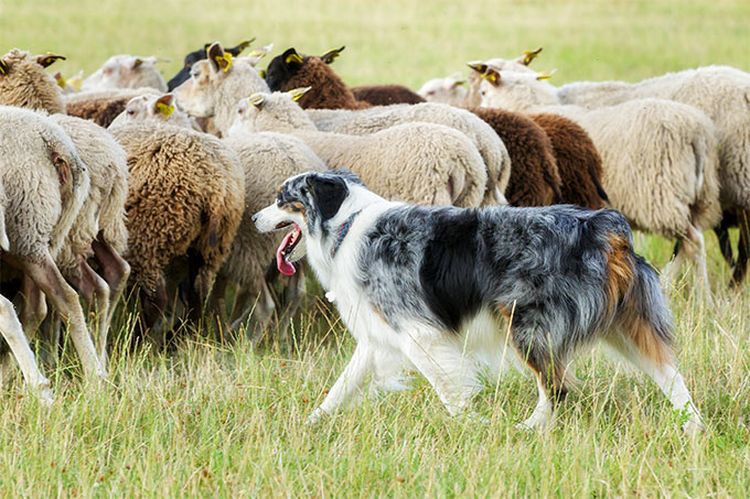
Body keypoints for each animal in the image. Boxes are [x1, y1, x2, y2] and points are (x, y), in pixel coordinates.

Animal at [109, 122, 244, 335]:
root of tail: (215, 184)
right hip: (211, 247)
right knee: (198, 294)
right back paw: (177, 337)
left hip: (148, 237)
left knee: (156, 299)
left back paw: (138, 339)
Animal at [474, 68, 722, 299]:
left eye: (484, 91)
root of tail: (697, 133)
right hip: (699, 198)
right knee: (687, 243)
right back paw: (668, 286)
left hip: (660, 196)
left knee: (694, 241)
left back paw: (703, 298)